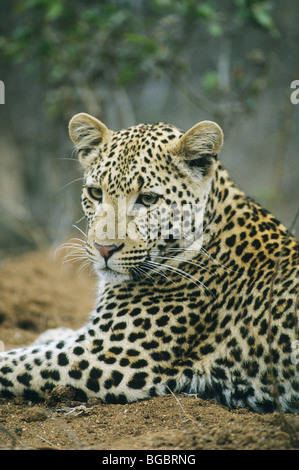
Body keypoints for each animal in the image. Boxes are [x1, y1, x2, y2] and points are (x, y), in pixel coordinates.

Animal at [0, 113, 298, 412]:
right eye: (96, 193)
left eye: (148, 199)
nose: (104, 249)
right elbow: (50, 341)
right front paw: (48, 333)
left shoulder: (105, 354)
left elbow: (17, 362)